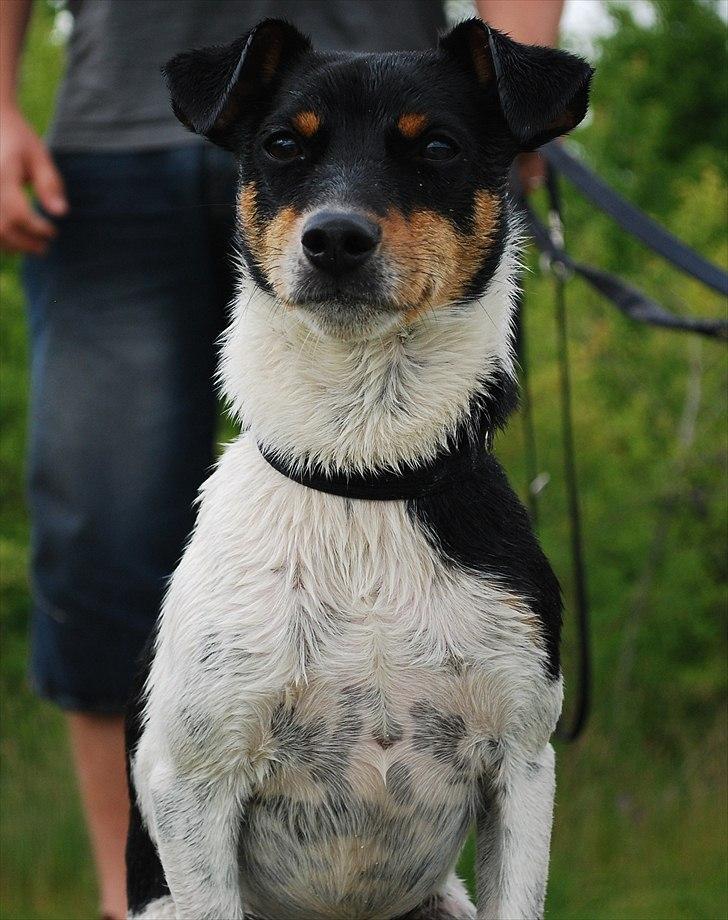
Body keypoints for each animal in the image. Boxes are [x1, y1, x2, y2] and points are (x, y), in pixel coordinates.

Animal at [125, 16, 592, 920]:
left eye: (438, 146)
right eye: (282, 144)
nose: (336, 236)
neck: (361, 478)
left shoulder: (524, 763)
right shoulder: (190, 784)